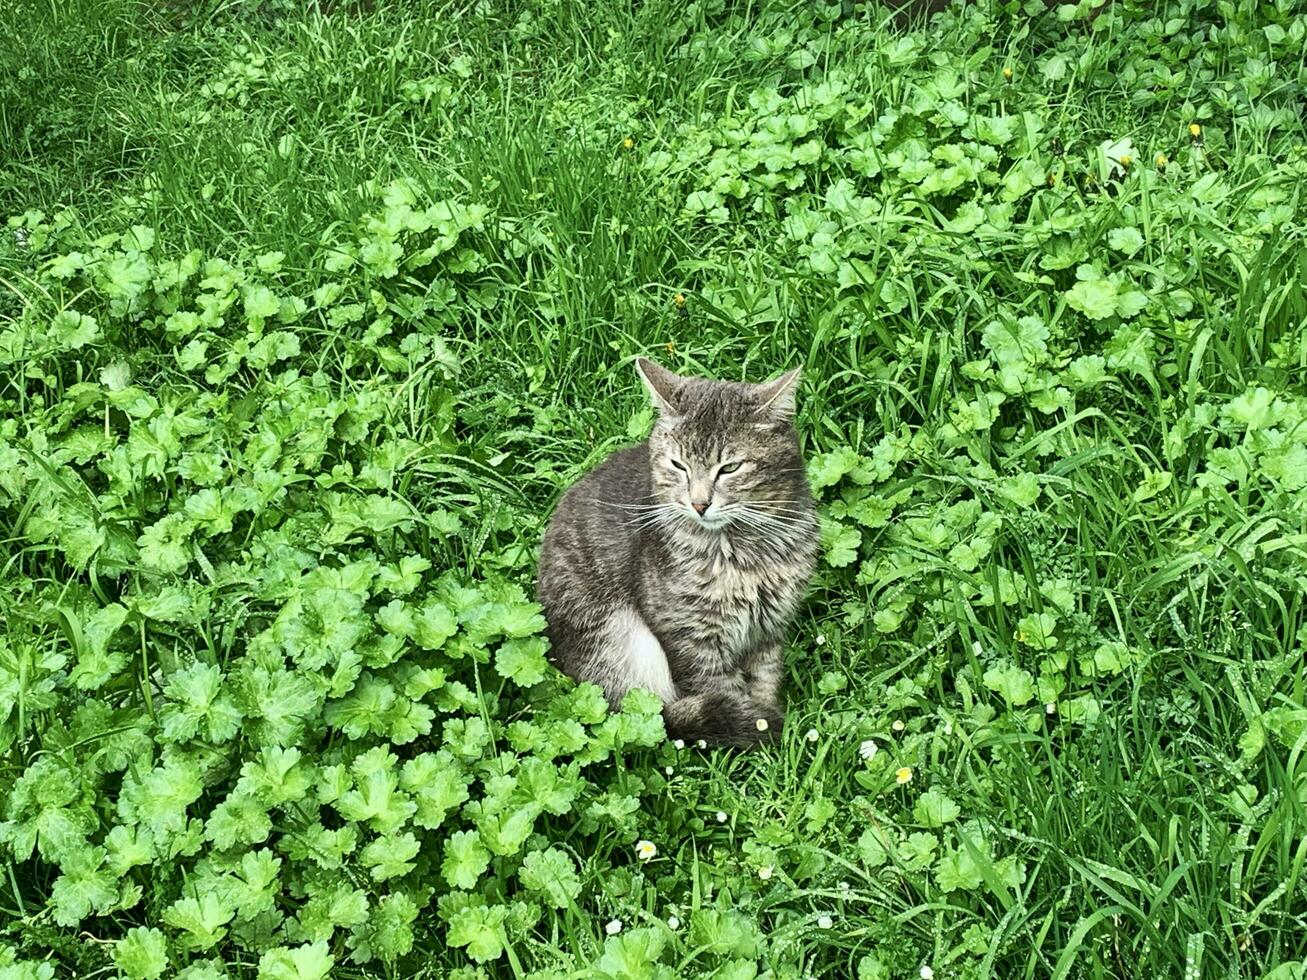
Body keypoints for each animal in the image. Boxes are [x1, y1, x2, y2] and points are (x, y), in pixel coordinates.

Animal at [535, 360, 810, 752]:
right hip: (621, 643)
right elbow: (721, 690)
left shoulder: (770, 628)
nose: (699, 504)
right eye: (679, 465)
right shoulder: (691, 636)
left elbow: (764, 681)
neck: (747, 550)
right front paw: (756, 729)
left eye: (730, 468)